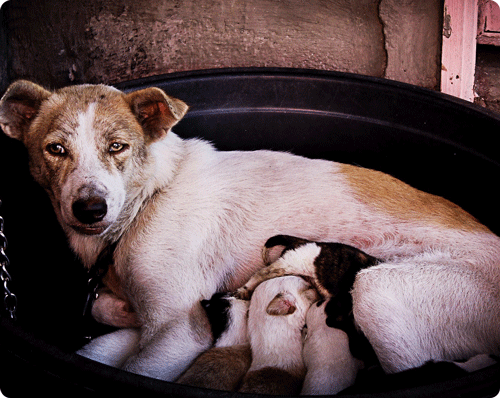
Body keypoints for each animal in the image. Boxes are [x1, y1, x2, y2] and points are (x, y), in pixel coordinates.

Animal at [0, 79, 500, 380]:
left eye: (117, 147)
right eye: (55, 149)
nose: (89, 209)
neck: (151, 197)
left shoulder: (181, 330)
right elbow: (107, 307)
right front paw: (122, 312)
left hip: (379, 292)